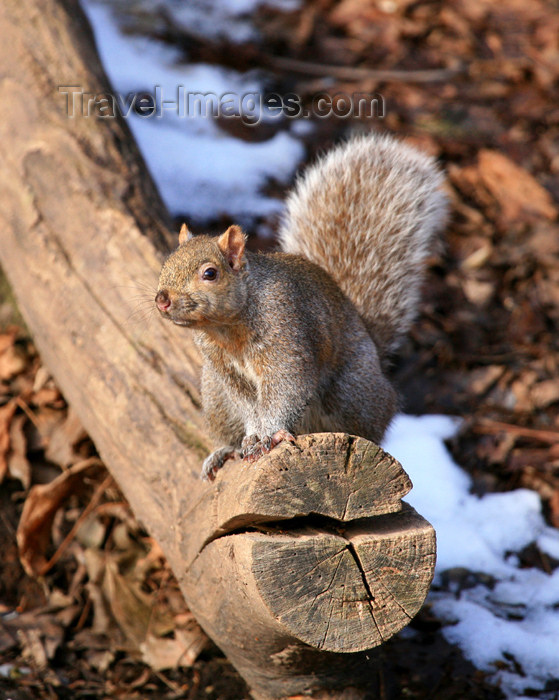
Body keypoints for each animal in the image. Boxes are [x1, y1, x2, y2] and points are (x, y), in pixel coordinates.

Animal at [154, 133, 450, 482]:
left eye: (210, 273)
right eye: (166, 264)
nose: (162, 299)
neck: (226, 327)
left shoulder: (285, 337)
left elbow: (286, 388)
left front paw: (266, 436)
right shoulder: (224, 371)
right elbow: (247, 404)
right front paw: (252, 436)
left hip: (350, 392)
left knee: (367, 426)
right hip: (215, 395)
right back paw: (223, 451)